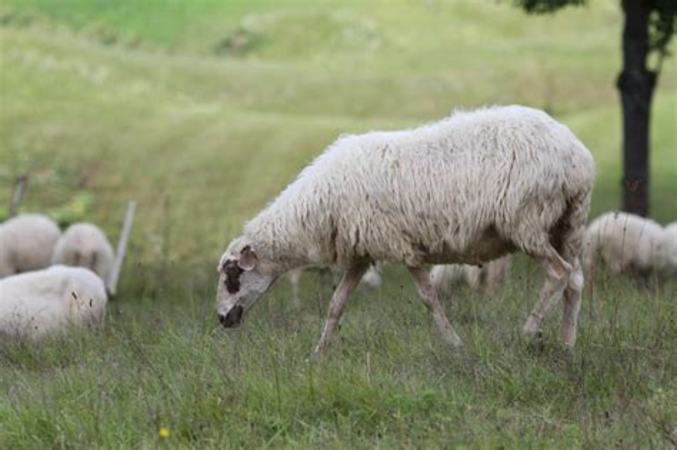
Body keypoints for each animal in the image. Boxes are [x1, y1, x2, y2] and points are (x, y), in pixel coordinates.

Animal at [214, 103, 596, 354]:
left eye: (233, 277)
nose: (222, 320)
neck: (316, 208)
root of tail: (577, 156)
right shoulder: (361, 253)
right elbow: (336, 304)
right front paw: (319, 354)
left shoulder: (401, 246)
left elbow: (429, 299)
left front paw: (454, 344)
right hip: (568, 223)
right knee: (576, 280)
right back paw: (568, 345)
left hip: (527, 220)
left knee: (559, 273)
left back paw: (529, 331)